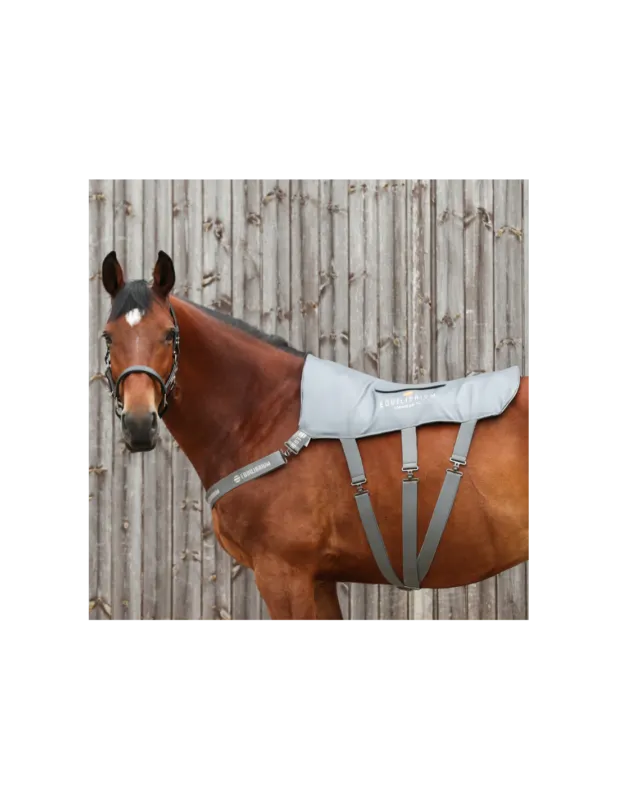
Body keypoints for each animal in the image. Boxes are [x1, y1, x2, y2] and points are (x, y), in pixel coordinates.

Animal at [98, 249, 534, 623]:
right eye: (108, 336)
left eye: (169, 334)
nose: (139, 424)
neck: (267, 415)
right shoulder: (318, 579)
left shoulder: (284, 574)